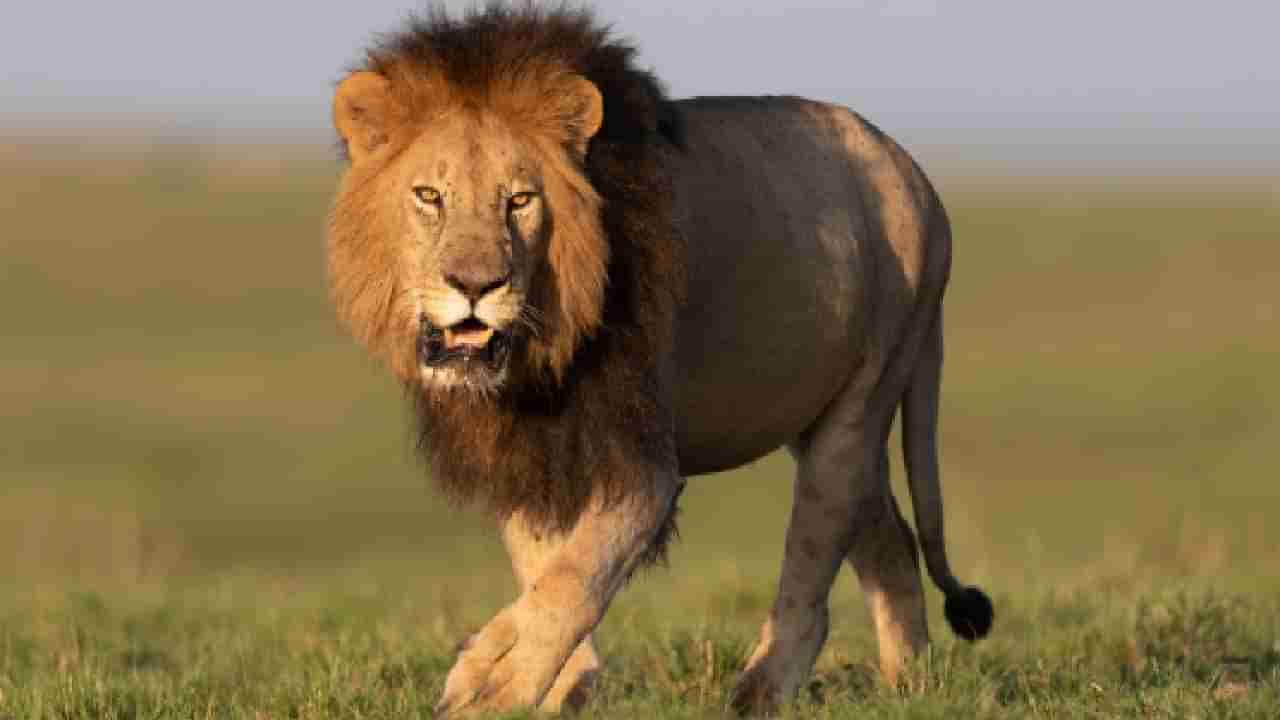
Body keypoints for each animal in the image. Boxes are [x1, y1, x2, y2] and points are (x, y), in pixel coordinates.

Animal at [327, 4, 993, 716]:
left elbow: (577, 574)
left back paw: (761, 689)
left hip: (862, 401)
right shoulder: (524, 445)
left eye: (520, 201)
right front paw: (563, 684)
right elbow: (542, 567)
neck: (539, 355)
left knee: (813, 564)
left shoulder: (644, 460)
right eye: (428, 196)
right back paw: (911, 685)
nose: (476, 286)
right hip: (824, 422)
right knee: (890, 541)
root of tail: (916, 173)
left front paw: (492, 680)